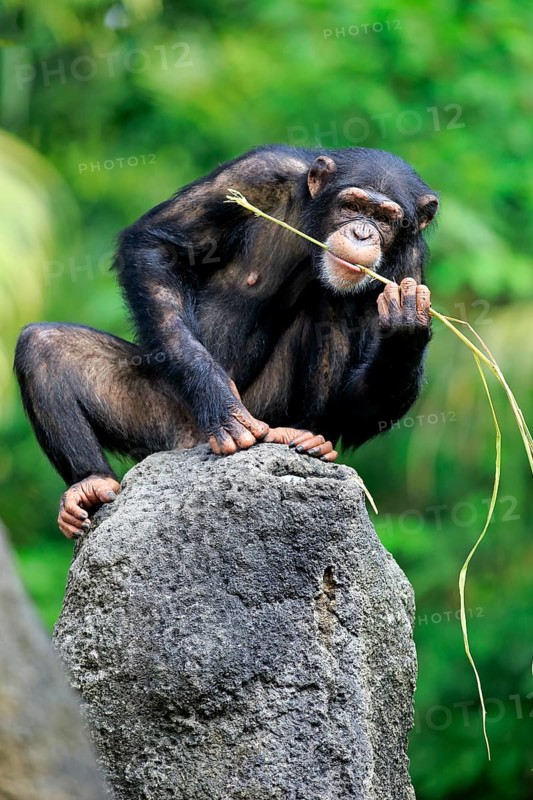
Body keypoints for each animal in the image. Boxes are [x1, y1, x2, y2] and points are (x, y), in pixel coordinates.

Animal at [14, 145, 438, 538]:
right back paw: (89, 484)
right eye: (352, 205)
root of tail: (185, 444)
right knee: (43, 344)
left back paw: (306, 436)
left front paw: (406, 325)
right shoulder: (257, 173)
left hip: (266, 409)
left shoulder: (409, 264)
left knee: (330, 303)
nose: (362, 233)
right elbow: (157, 246)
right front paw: (220, 402)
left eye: (385, 218)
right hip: (162, 415)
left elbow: (363, 407)